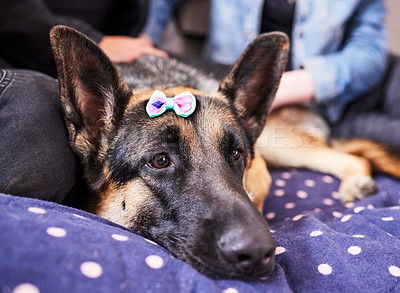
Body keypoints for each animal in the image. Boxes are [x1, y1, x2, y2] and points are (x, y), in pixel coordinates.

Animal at [50, 25, 400, 278]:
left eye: (236, 155)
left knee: (349, 156)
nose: (258, 254)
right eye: (160, 161)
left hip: (279, 142)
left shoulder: (259, 172)